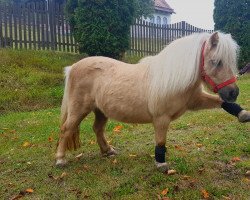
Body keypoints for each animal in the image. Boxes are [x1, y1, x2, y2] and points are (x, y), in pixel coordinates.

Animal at [55, 31, 239, 172]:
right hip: (79, 109)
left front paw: (242, 114)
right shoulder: (161, 119)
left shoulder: (195, 101)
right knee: (66, 129)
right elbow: (160, 141)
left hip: (100, 110)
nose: (233, 92)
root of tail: (72, 68)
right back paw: (60, 159)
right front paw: (161, 164)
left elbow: (221, 102)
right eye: (216, 62)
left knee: (97, 129)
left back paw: (108, 151)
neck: (170, 78)